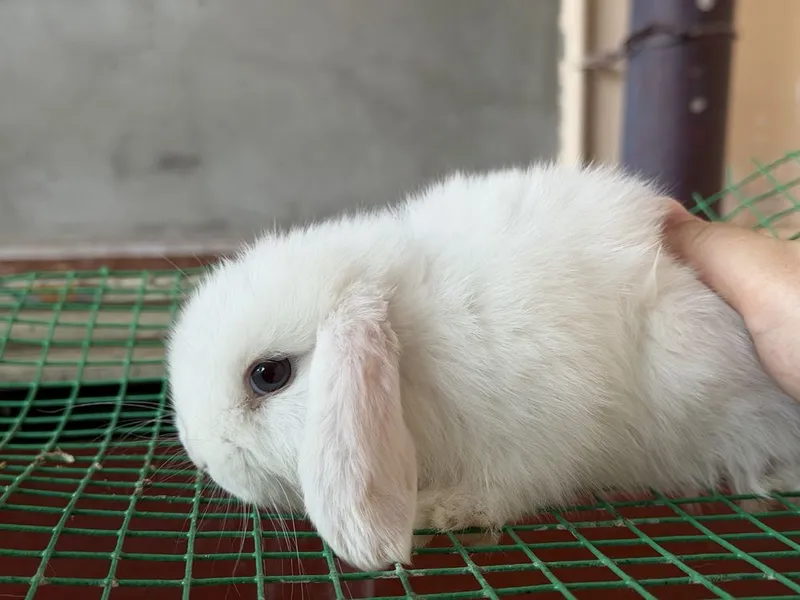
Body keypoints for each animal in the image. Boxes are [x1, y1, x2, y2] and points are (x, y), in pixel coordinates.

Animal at [166, 162, 800, 572]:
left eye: (269, 375)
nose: (201, 455)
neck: (414, 342)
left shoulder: (539, 432)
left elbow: (506, 490)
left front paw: (443, 510)